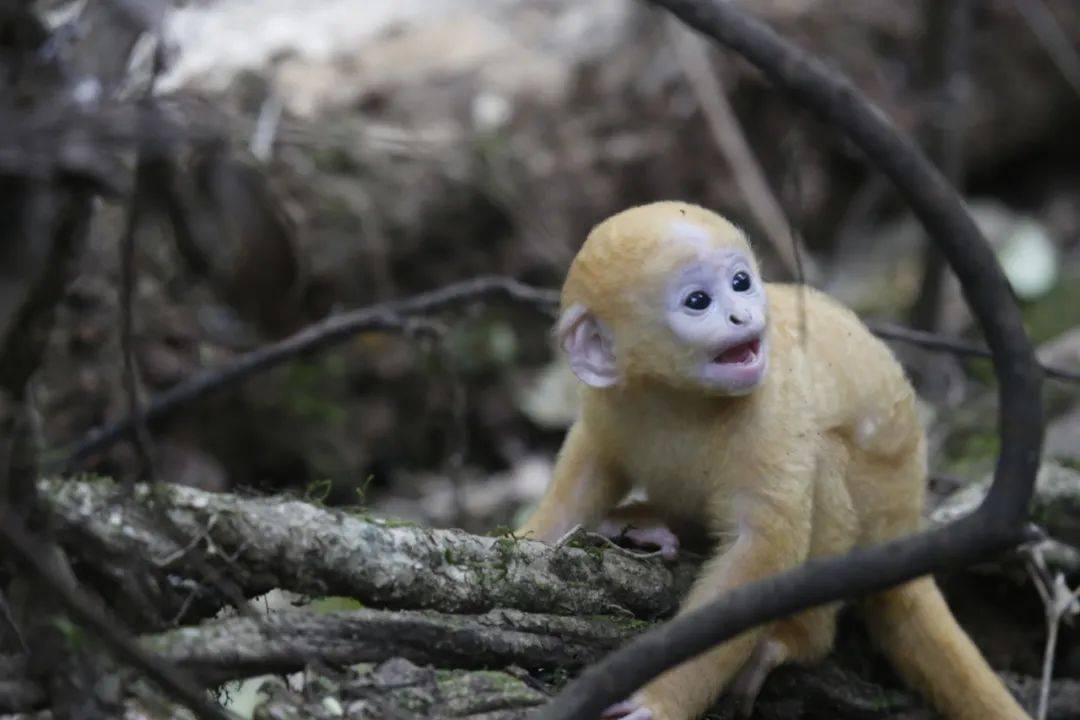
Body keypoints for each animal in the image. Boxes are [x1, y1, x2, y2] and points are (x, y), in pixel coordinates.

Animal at [518, 201, 1032, 720]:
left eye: (741, 281)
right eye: (698, 301)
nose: (741, 314)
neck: (677, 399)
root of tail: (906, 521)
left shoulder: (768, 409)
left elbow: (761, 549)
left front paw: (660, 700)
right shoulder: (610, 402)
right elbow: (589, 466)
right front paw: (529, 537)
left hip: (879, 501)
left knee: (823, 465)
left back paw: (797, 639)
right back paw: (642, 525)